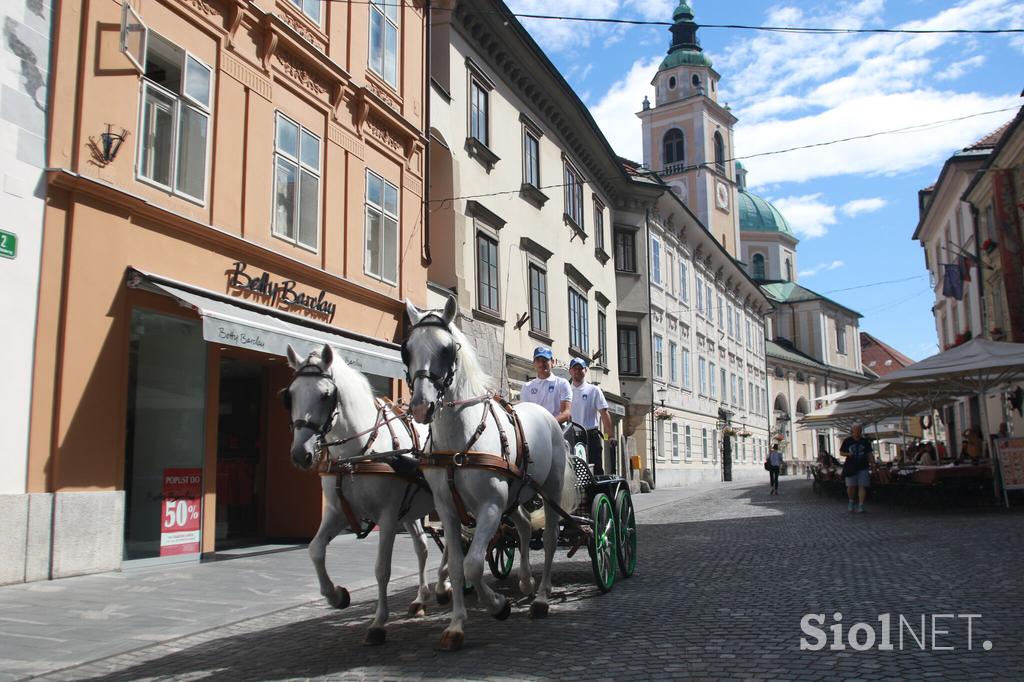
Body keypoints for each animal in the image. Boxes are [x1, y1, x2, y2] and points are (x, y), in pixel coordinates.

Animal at [288, 342, 448, 647]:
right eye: (289, 395)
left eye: (326, 395)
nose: (300, 455)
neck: (356, 454)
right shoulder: (338, 512)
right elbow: (315, 550)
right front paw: (336, 595)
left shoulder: (387, 516)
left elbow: (382, 568)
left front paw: (378, 623)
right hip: (412, 511)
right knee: (423, 548)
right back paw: (421, 599)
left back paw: (445, 583)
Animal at [401, 296, 581, 647]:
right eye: (407, 348)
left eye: (446, 349)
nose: (421, 407)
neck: (460, 441)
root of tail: (546, 415)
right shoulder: (448, 510)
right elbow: (457, 565)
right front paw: (456, 624)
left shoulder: (491, 506)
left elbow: (473, 564)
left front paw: (498, 605)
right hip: (516, 496)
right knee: (523, 526)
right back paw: (526, 582)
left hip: (548, 491)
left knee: (550, 538)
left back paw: (541, 596)